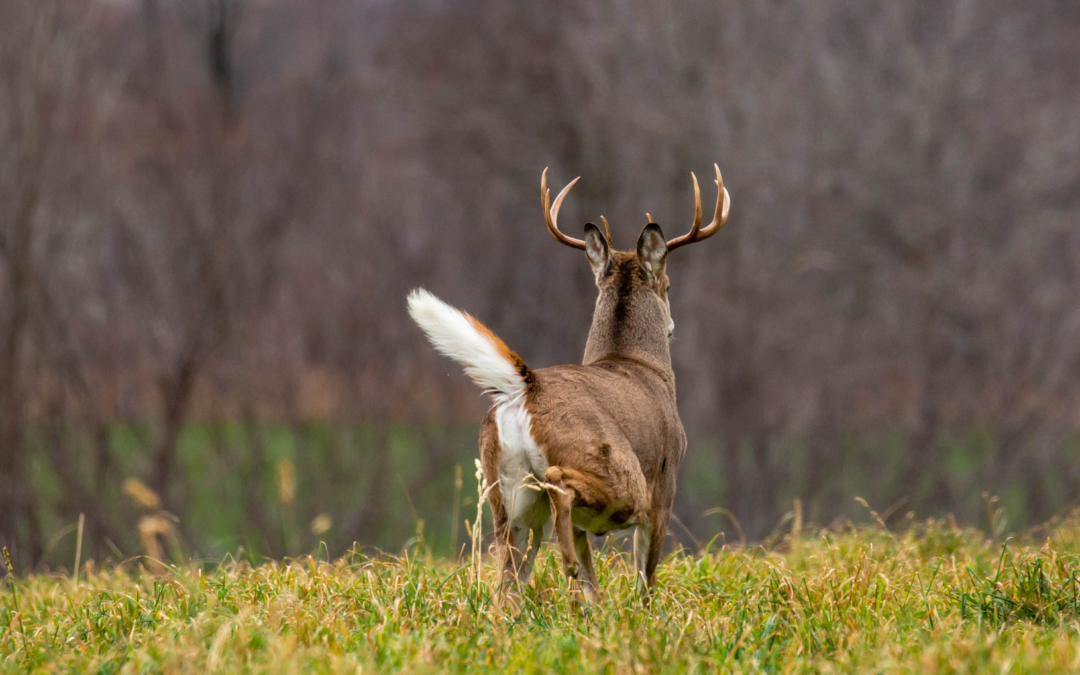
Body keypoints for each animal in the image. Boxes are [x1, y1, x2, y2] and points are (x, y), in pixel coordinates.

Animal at [407, 165, 730, 603]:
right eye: (669, 285)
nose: (673, 325)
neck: (638, 365)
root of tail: (527, 385)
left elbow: (595, 582)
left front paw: (595, 608)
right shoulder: (666, 483)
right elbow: (645, 578)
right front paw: (640, 613)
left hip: (506, 496)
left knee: (506, 585)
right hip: (616, 471)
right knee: (560, 486)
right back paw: (567, 568)